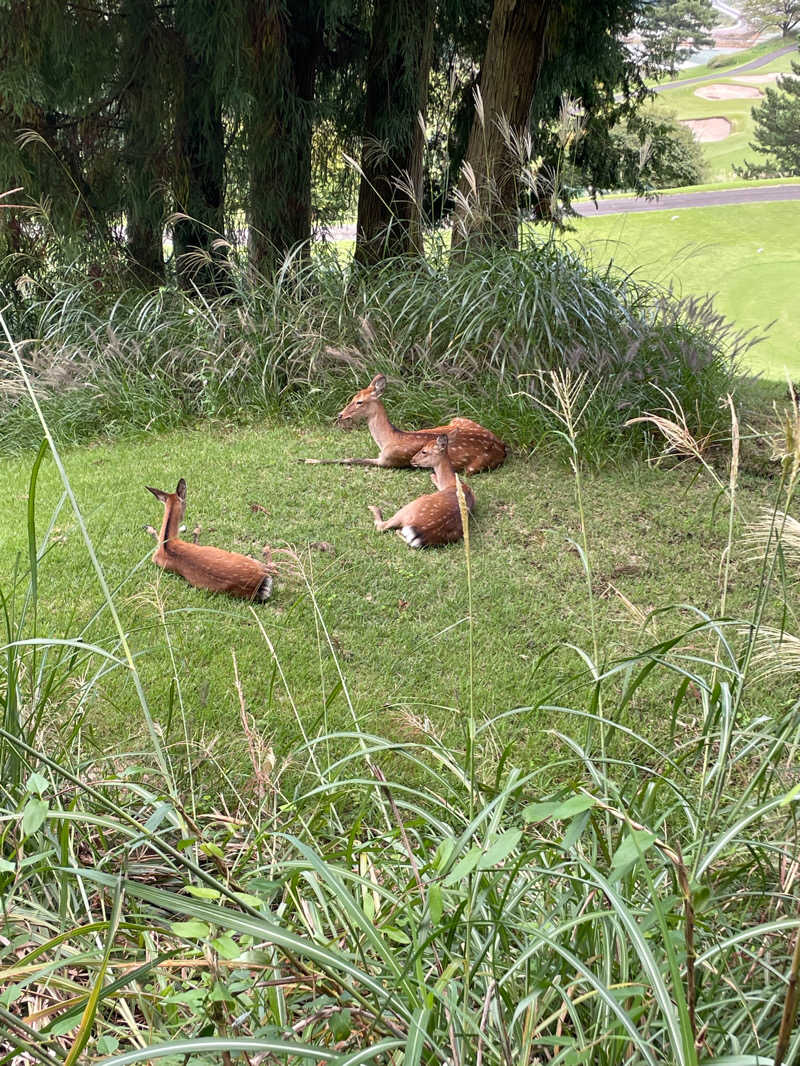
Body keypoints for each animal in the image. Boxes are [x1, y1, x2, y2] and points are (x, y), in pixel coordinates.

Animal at [147, 477, 275, 601]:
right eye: (186, 504)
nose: (183, 518)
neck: (167, 542)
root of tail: (259, 584)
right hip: (244, 558)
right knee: (271, 567)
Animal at [300, 375, 507, 475]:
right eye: (352, 397)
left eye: (359, 402)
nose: (340, 415)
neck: (388, 440)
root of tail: (503, 448)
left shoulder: (389, 460)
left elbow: (350, 459)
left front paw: (306, 459)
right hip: (458, 418)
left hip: (472, 467)